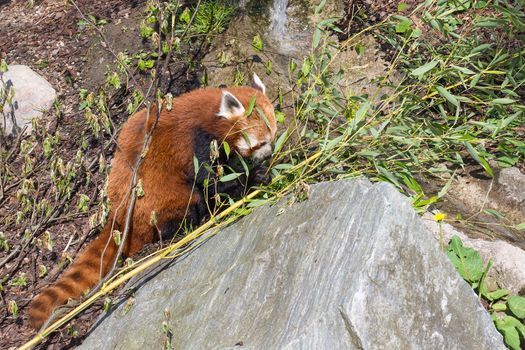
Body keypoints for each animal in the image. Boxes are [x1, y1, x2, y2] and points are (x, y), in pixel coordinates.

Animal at [27, 73, 278, 328]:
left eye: (274, 137)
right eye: (259, 143)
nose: (269, 154)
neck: (208, 116)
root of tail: (119, 215)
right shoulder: (197, 143)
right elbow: (212, 180)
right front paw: (252, 179)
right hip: (161, 199)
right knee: (189, 202)